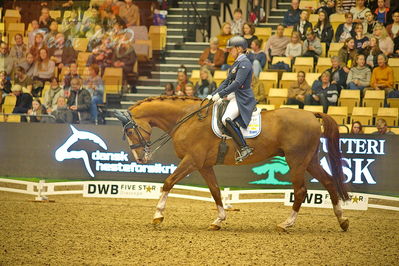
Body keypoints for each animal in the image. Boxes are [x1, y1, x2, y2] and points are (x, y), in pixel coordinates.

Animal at [115, 96, 350, 232]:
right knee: (329, 182)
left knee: (300, 191)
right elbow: (215, 191)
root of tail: (311, 113)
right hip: (309, 160)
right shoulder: (204, 165)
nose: (140, 159)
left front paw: (158, 216)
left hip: (297, 161)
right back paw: (342, 220)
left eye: (130, 131)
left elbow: (168, 182)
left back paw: (286, 224)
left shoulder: (192, 160)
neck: (186, 118)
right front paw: (218, 220)